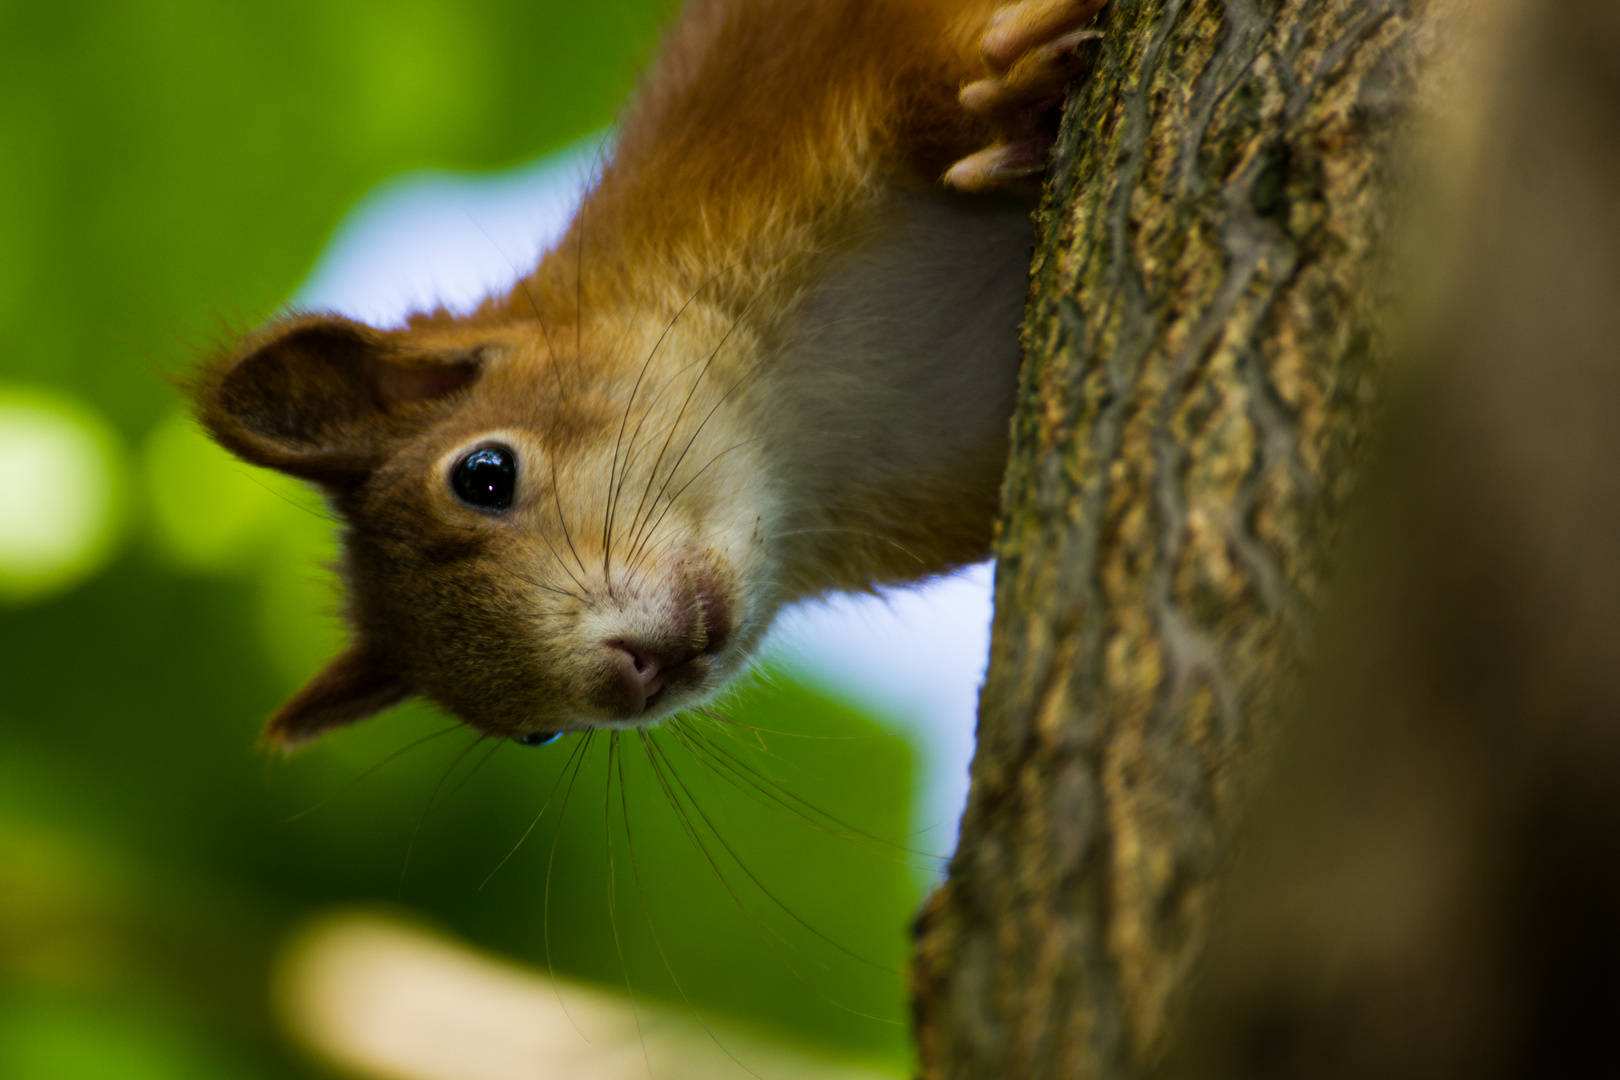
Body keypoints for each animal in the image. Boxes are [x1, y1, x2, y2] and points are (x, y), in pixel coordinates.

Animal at [189, 0, 1101, 751]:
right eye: (536, 734)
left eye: (484, 474)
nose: (633, 676)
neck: (807, 425)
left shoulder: (773, 90)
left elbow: (918, 79)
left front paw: (1010, 88)